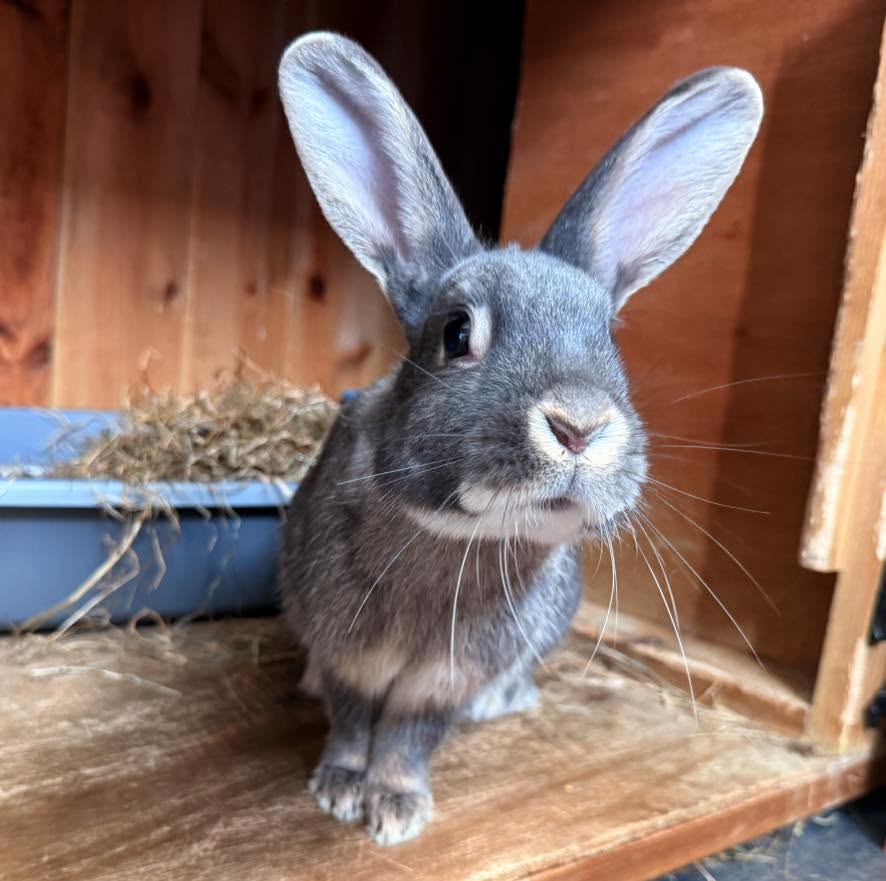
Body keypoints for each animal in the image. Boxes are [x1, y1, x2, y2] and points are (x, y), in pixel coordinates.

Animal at [277, 32, 762, 846]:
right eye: (456, 333)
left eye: (608, 339)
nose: (580, 425)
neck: (457, 537)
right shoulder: (349, 652)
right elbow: (350, 719)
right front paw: (340, 790)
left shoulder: (440, 683)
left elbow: (408, 736)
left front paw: (397, 806)